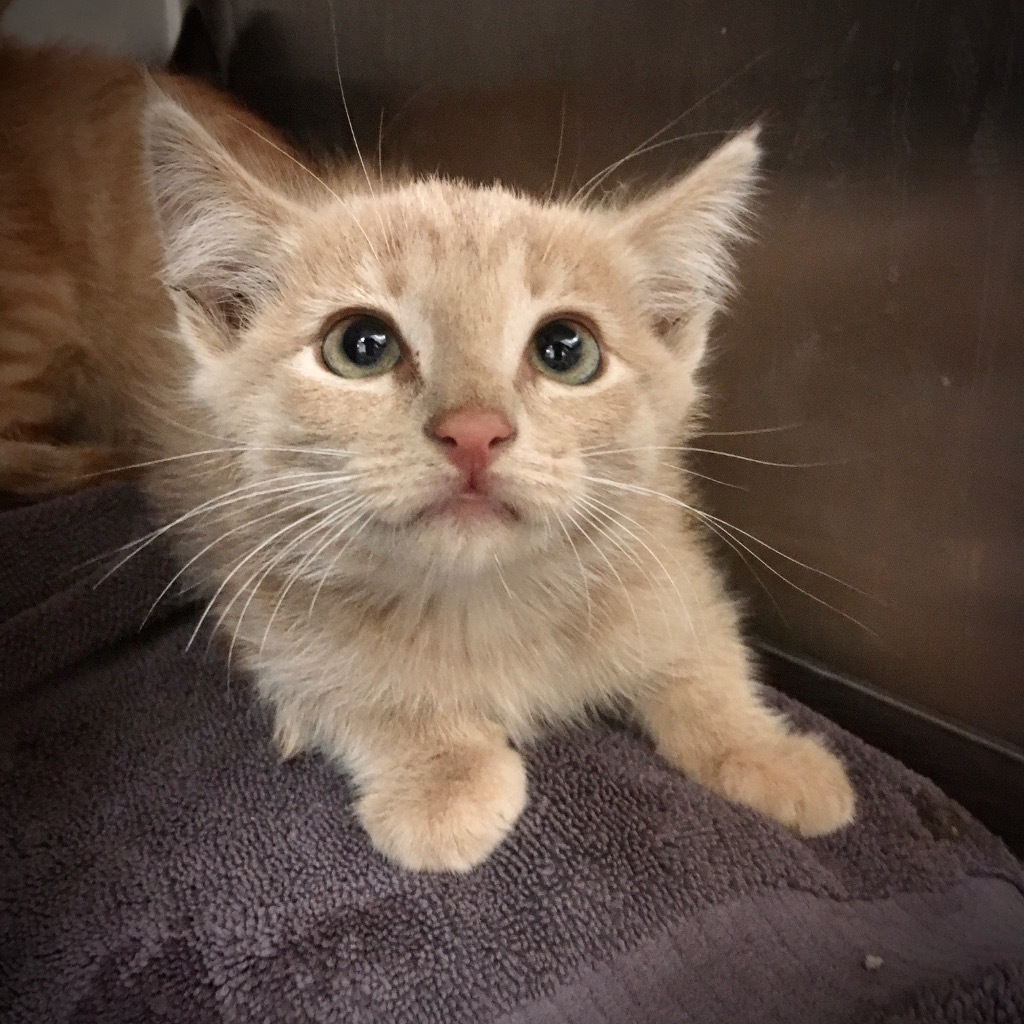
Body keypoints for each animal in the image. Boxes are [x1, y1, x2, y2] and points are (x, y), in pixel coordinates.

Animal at [0, 41, 856, 872]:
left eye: (566, 349)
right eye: (360, 346)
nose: (474, 430)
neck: (486, 604)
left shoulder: (663, 547)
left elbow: (700, 650)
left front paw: (767, 751)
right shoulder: (245, 557)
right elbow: (337, 670)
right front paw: (445, 774)